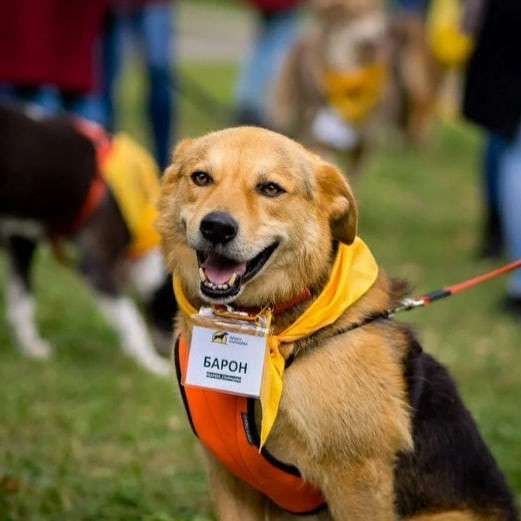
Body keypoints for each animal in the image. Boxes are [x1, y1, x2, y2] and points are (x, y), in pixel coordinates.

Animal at [0, 104, 177, 374]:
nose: (173, 353)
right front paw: (149, 363)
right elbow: (131, 318)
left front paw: (30, 348)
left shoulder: (21, 239)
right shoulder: (95, 263)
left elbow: (22, 302)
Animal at [157, 127, 516, 520]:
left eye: (270, 188)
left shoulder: (357, 480)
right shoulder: (230, 478)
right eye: (201, 178)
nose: (217, 228)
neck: (266, 328)